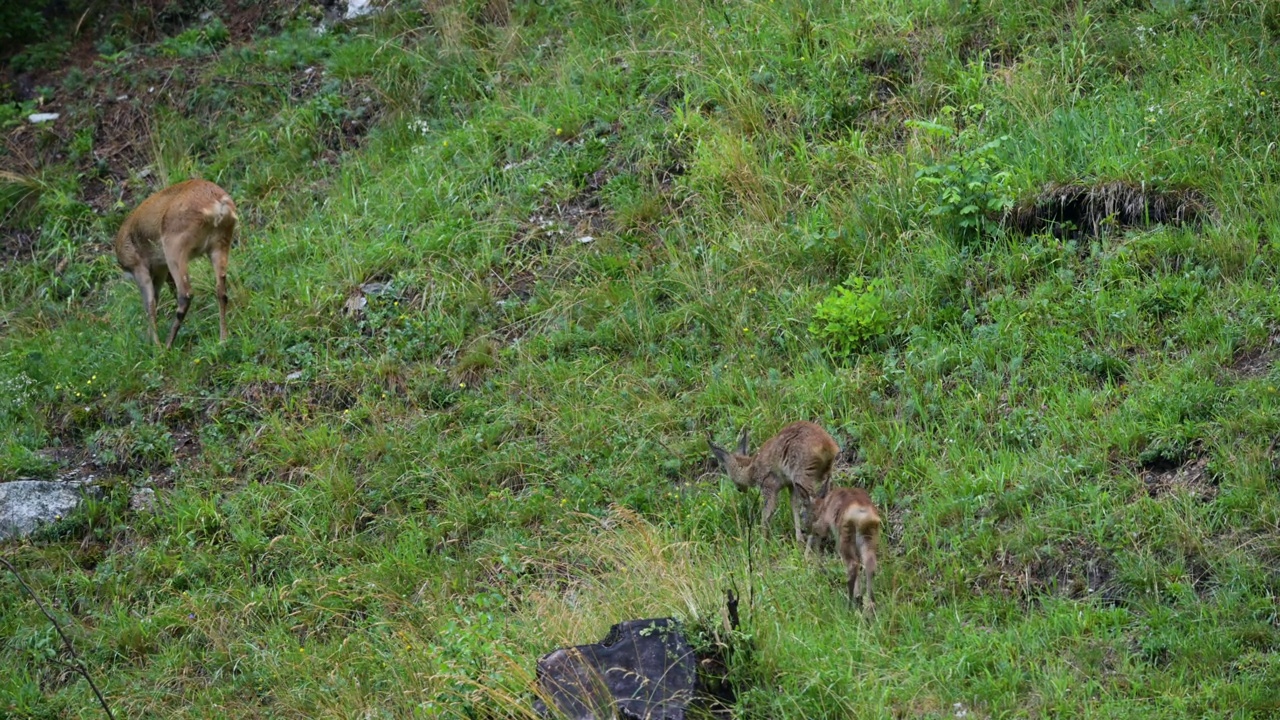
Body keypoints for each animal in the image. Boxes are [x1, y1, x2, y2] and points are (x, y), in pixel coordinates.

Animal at [114, 178, 238, 348]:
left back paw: (166, 346)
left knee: (185, 293)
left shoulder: (139, 266)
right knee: (221, 291)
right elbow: (157, 298)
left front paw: (153, 345)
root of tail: (218, 204)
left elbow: (150, 304)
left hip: (174, 245)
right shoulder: (160, 269)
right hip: (220, 242)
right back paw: (223, 339)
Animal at [701, 417, 839, 540]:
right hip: (824, 473)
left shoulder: (769, 486)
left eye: (729, 474)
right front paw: (798, 538)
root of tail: (828, 445)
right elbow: (793, 505)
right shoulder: (790, 484)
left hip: (803, 474)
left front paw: (762, 542)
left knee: (813, 501)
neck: (751, 469)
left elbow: (766, 514)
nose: (739, 489)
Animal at [808, 476, 880, 609]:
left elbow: (818, 531)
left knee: (852, 564)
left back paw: (850, 603)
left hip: (845, 537)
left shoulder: (824, 523)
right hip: (869, 536)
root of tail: (861, 511)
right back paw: (869, 603)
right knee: (869, 564)